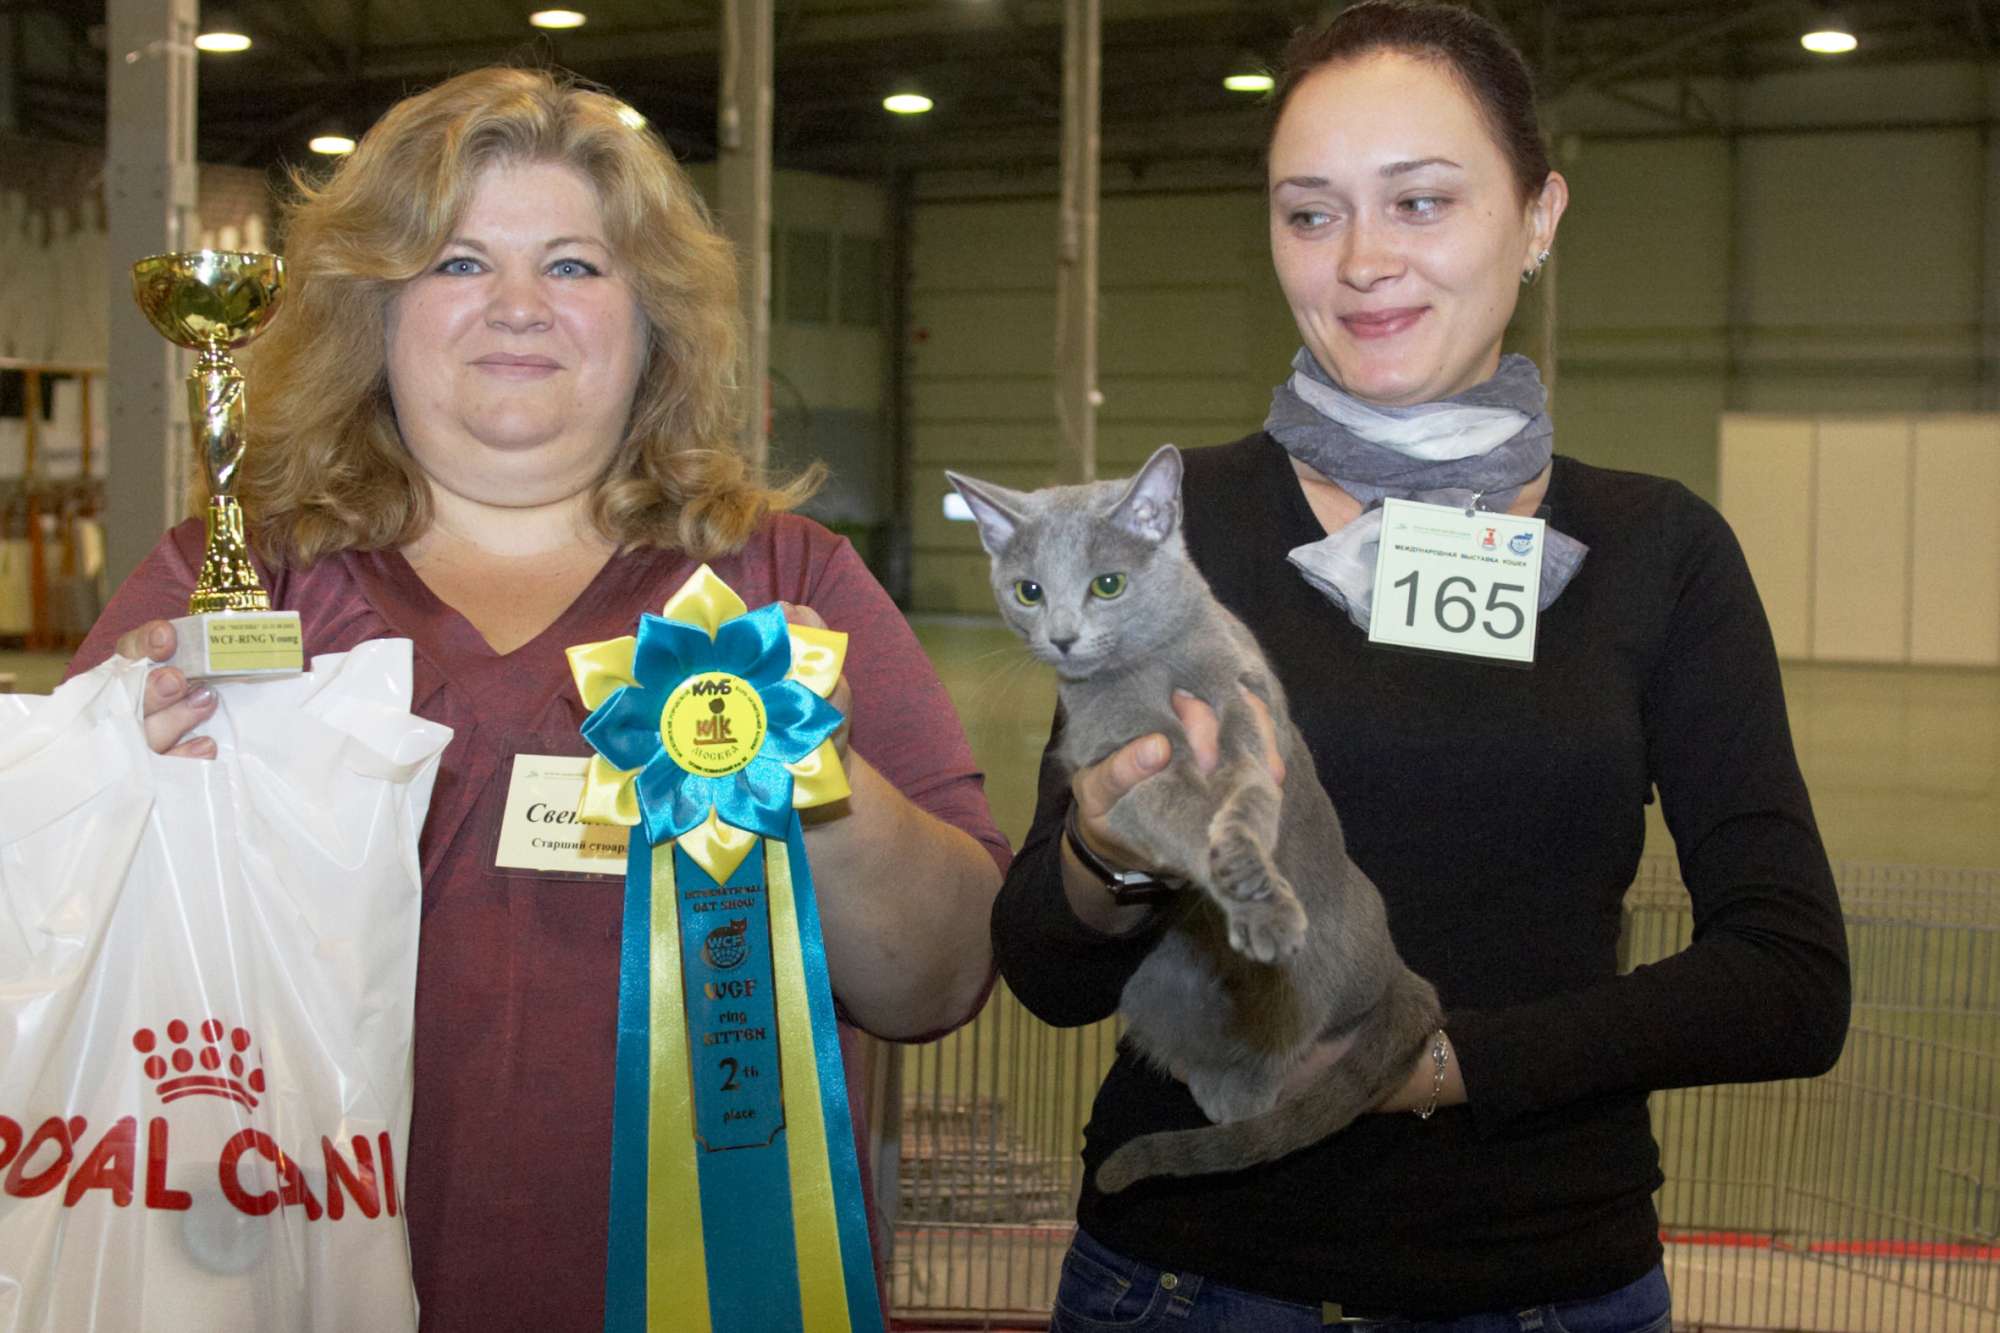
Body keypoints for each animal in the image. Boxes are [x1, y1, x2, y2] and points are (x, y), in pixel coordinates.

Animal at [947, 443, 1442, 1193]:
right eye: (1028, 591)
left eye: (1108, 584)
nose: (1061, 638)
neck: (1152, 670)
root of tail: (1396, 972)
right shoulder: (1118, 764)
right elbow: (1179, 809)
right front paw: (1240, 888)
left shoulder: (1246, 704)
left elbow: (1249, 788)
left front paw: (1255, 884)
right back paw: (1222, 1082)